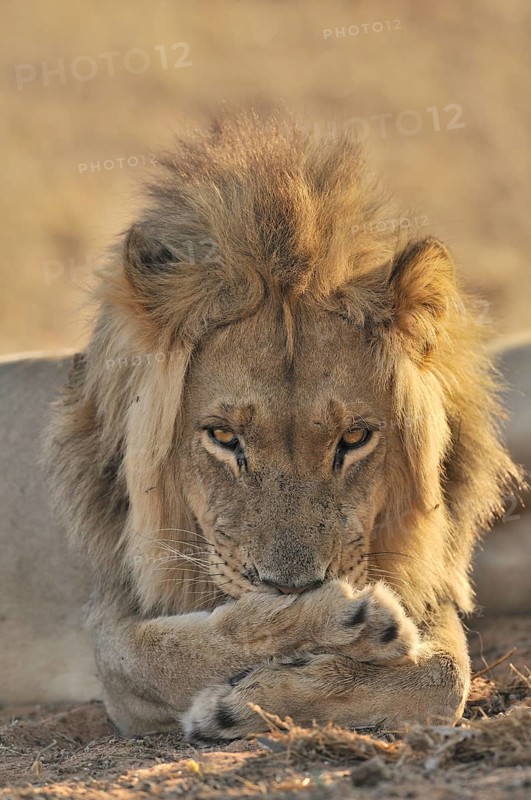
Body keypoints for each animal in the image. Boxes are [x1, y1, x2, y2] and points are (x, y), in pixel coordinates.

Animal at [0, 116, 527, 739]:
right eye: (225, 437)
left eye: (354, 438)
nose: (291, 586)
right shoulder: (111, 635)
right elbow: (187, 649)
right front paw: (344, 624)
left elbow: (444, 677)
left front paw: (250, 700)